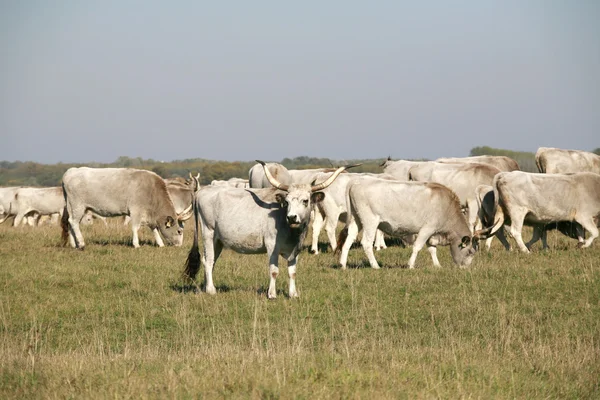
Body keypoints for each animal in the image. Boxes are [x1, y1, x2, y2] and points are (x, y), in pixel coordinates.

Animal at [61, 166, 192, 248]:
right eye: (179, 231)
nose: (179, 245)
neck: (152, 190)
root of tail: (71, 172)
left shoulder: (149, 216)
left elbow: (154, 229)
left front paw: (160, 244)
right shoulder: (136, 211)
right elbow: (135, 227)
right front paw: (136, 244)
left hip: (73, 207)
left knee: (70, 223)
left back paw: (74, 244)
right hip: (77, 205)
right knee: (74, 222)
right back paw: (81, 244)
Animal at [183, 161, 352, 298]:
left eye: (305, 200)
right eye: (287, 201)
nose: (292, 217)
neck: (290, 229)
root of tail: (202, 192)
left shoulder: (295, 249)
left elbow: (292, 271)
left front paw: (293, 294)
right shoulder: (272, 246)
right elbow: (274, 270)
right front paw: (272, 294)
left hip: (217, 240)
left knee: (211, 261)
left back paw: (205, 287)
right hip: (208, 233)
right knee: (208, 260)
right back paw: (211, 290)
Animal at [338, 177, 488, 268]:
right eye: (470, 252)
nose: (465, 268)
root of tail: (357, 180)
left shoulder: (432, 233)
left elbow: (432, 249)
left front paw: (437, 265)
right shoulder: (427, 228)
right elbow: (417, 247)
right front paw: (410, 265)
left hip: (356, 220)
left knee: (349, 240)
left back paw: (342, 264)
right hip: (370, 221)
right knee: (367, 243)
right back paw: (375, 266)